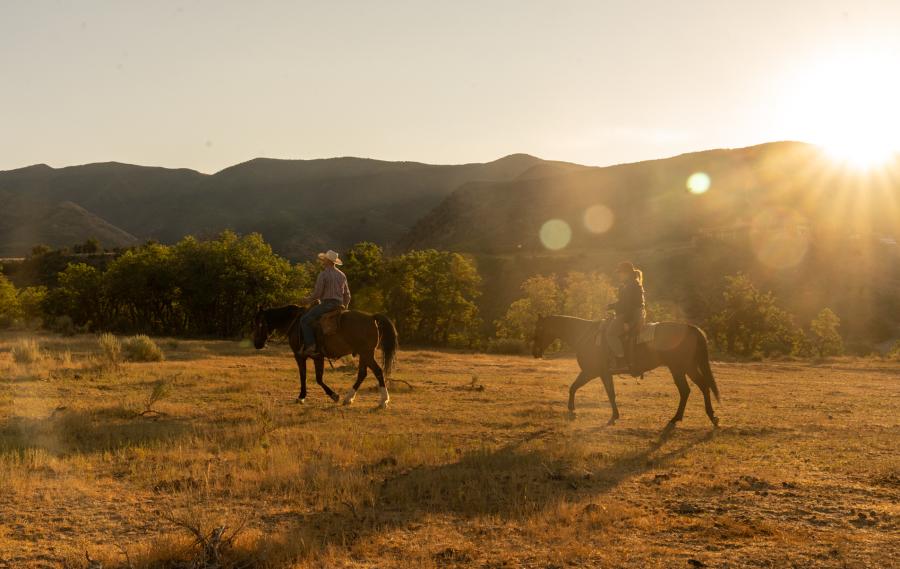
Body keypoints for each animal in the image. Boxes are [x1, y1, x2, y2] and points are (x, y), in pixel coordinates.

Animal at [250, 304, 398, 406]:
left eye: (259, 324)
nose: (257, 344)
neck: (295, 322)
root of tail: (371, 317)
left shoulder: (302, 356)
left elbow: (310, 377)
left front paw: (305, 396)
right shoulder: (318, 357)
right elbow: (316, 378)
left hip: (367, 353)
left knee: (377, 371)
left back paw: (383, 400)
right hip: (364, 354)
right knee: (363, 374)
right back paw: (348, 398)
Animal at [532, 316, 720, 426]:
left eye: (539, 328)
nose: (534, 352)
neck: (587, 336)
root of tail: (690, 328)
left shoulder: (593, 372)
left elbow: (587, 389)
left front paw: (573, 410)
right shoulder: (600, 373)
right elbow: (582, 388)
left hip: (680, 368)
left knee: (690, 389)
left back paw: (683, 417)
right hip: (687, 367)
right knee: (699, 388)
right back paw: (705, 416)